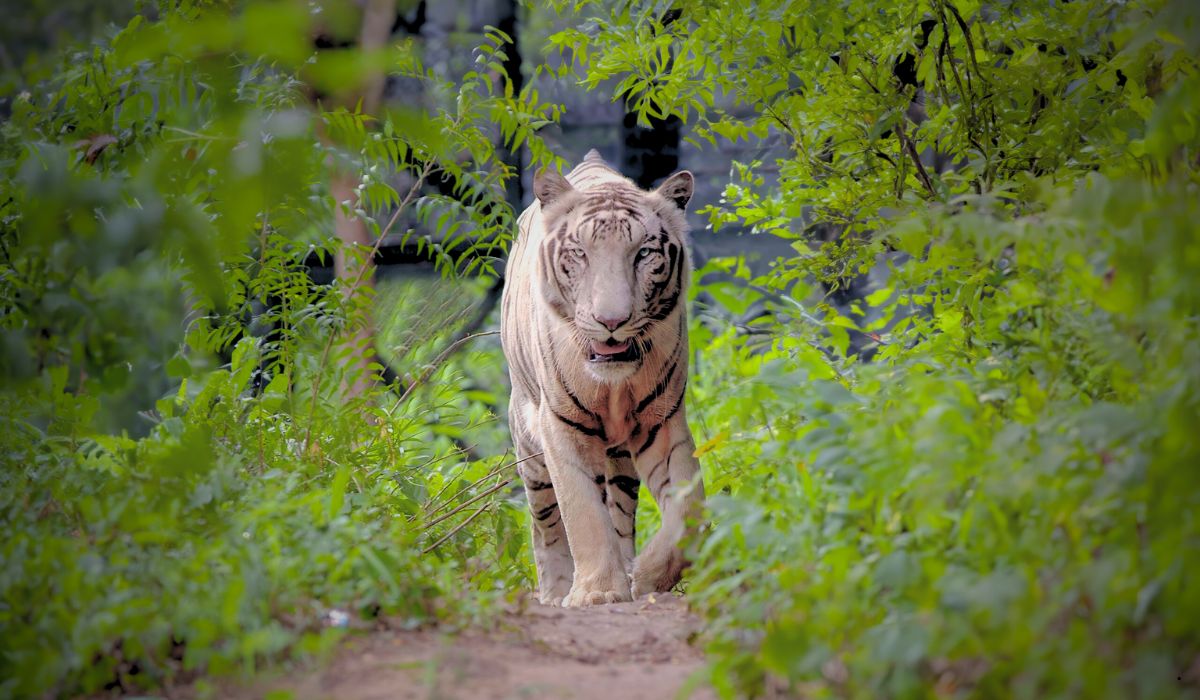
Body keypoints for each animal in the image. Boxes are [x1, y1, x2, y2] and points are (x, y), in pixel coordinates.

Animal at [496, 149, 700, 607]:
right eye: (580, 253)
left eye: (643, 254)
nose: (612, 322)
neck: (614, 386)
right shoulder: (560, 425)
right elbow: (582, 514)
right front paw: (597, 592)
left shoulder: (663, 422)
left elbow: (689, 509)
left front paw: (646, 577)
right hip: (528, 444)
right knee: (546, 525)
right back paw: (555, 591)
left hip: (620, 459)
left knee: (620, 512)